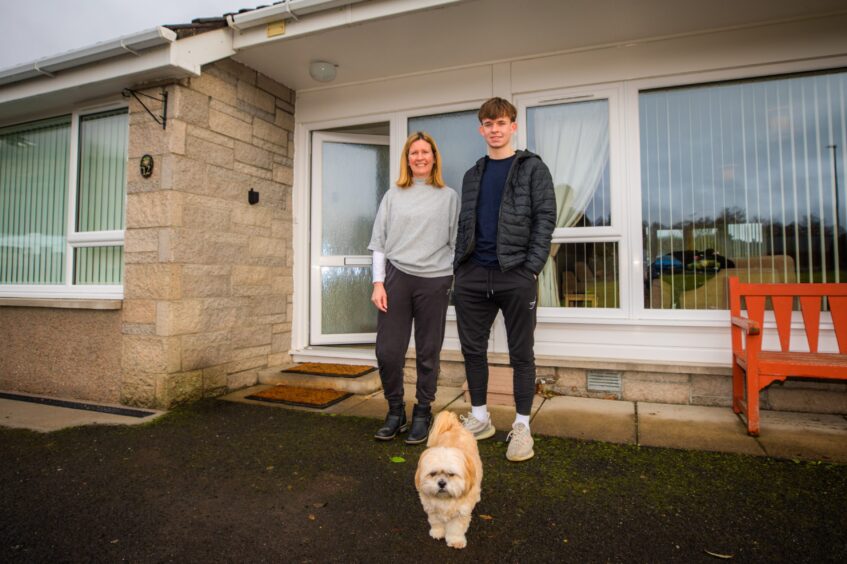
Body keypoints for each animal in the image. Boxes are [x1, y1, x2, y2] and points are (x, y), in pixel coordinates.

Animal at [416, 412, 484, 548]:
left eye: (451, 474)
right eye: (433, 473)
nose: (441, 483)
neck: (445, 499)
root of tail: (454, 426)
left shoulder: (461, 513)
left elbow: (456, 529)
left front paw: (455, 541)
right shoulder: (432, 510)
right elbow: (436, 522)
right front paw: (437, 532)